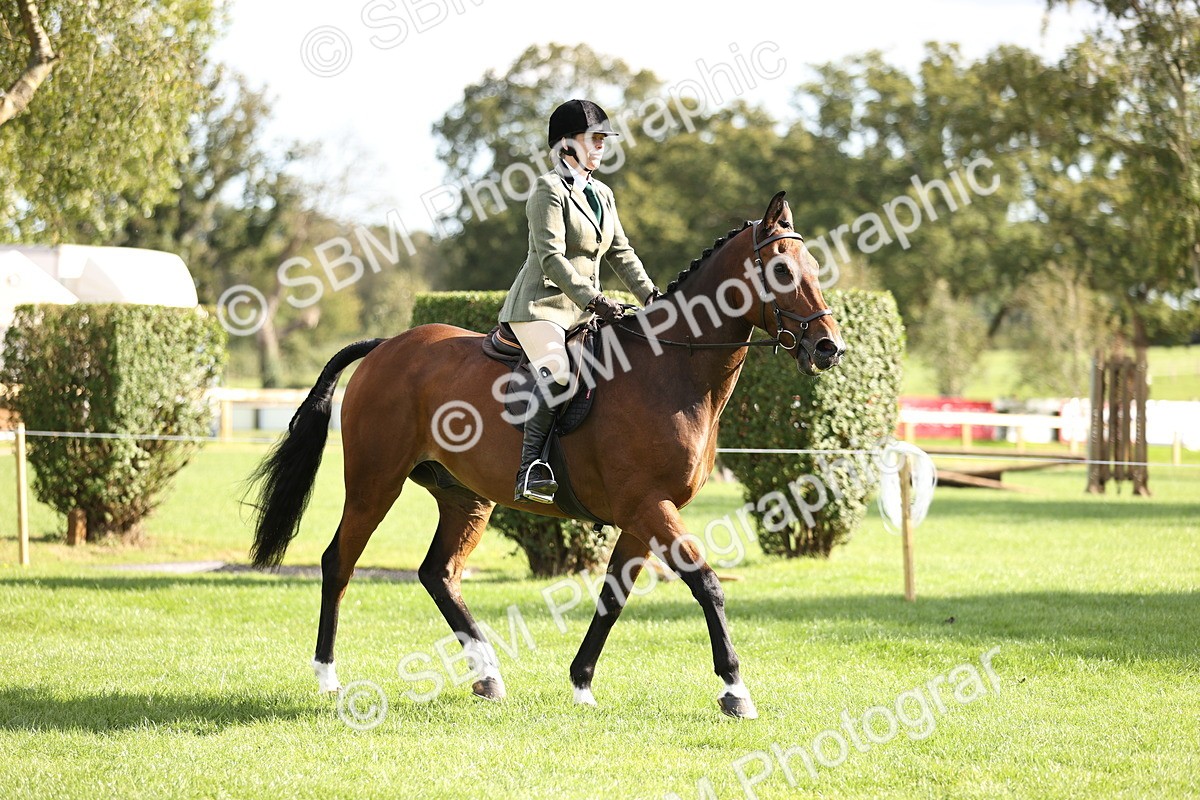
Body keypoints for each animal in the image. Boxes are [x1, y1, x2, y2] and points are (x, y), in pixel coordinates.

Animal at [246, 191, 845, 719]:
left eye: (814, 266)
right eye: (783, 271)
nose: (828, 348)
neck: (670, 371)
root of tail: (386, 346)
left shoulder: (642, 515)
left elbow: (613, 597)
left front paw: (581, 684)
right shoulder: (649, 507)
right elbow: (707, 585)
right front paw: (734, 690)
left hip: (465, 496)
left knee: (439, 573)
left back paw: (487, 676)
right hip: (375, 483)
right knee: (339, 562)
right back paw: (328, 676)